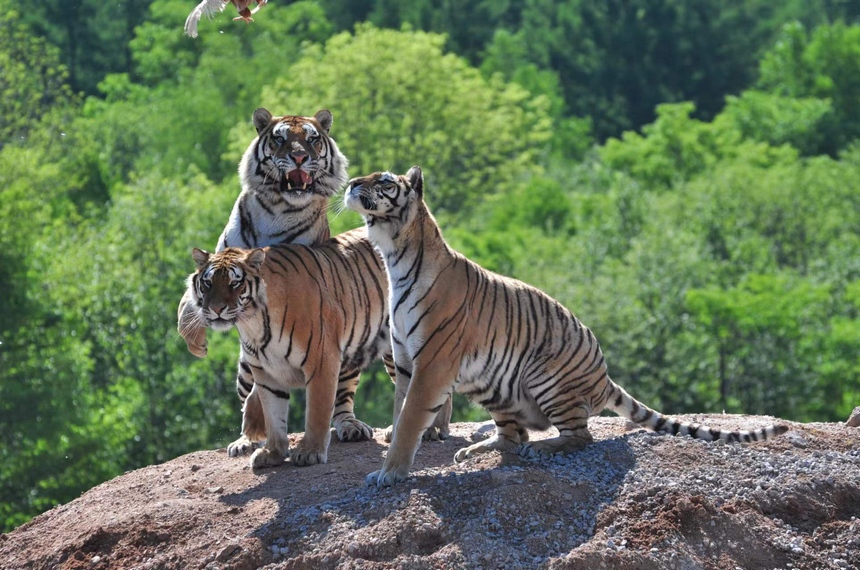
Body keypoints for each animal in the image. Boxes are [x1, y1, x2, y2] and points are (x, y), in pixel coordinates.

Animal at [188, 226, 394, 466]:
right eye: (208, 283)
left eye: (235, 283)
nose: (216, 309)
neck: (254, 322)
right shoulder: (265, 371)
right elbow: (273, 414)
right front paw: (272, 452)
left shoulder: (322, 362)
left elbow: (317, 411)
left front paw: (310, 451)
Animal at [340, 163, 788, 484]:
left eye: (384, 181)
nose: (351, 184)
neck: (393, 256)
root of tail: (605, 377)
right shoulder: (405, 363)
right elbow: (401, 415)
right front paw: (392, 465)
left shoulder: (431, 364)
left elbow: (410, 420)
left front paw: (388, 474)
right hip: (494, 383)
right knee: (513, 435)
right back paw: (478, 448)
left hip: (545, 373)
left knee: (578, 435)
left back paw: (542, 449)